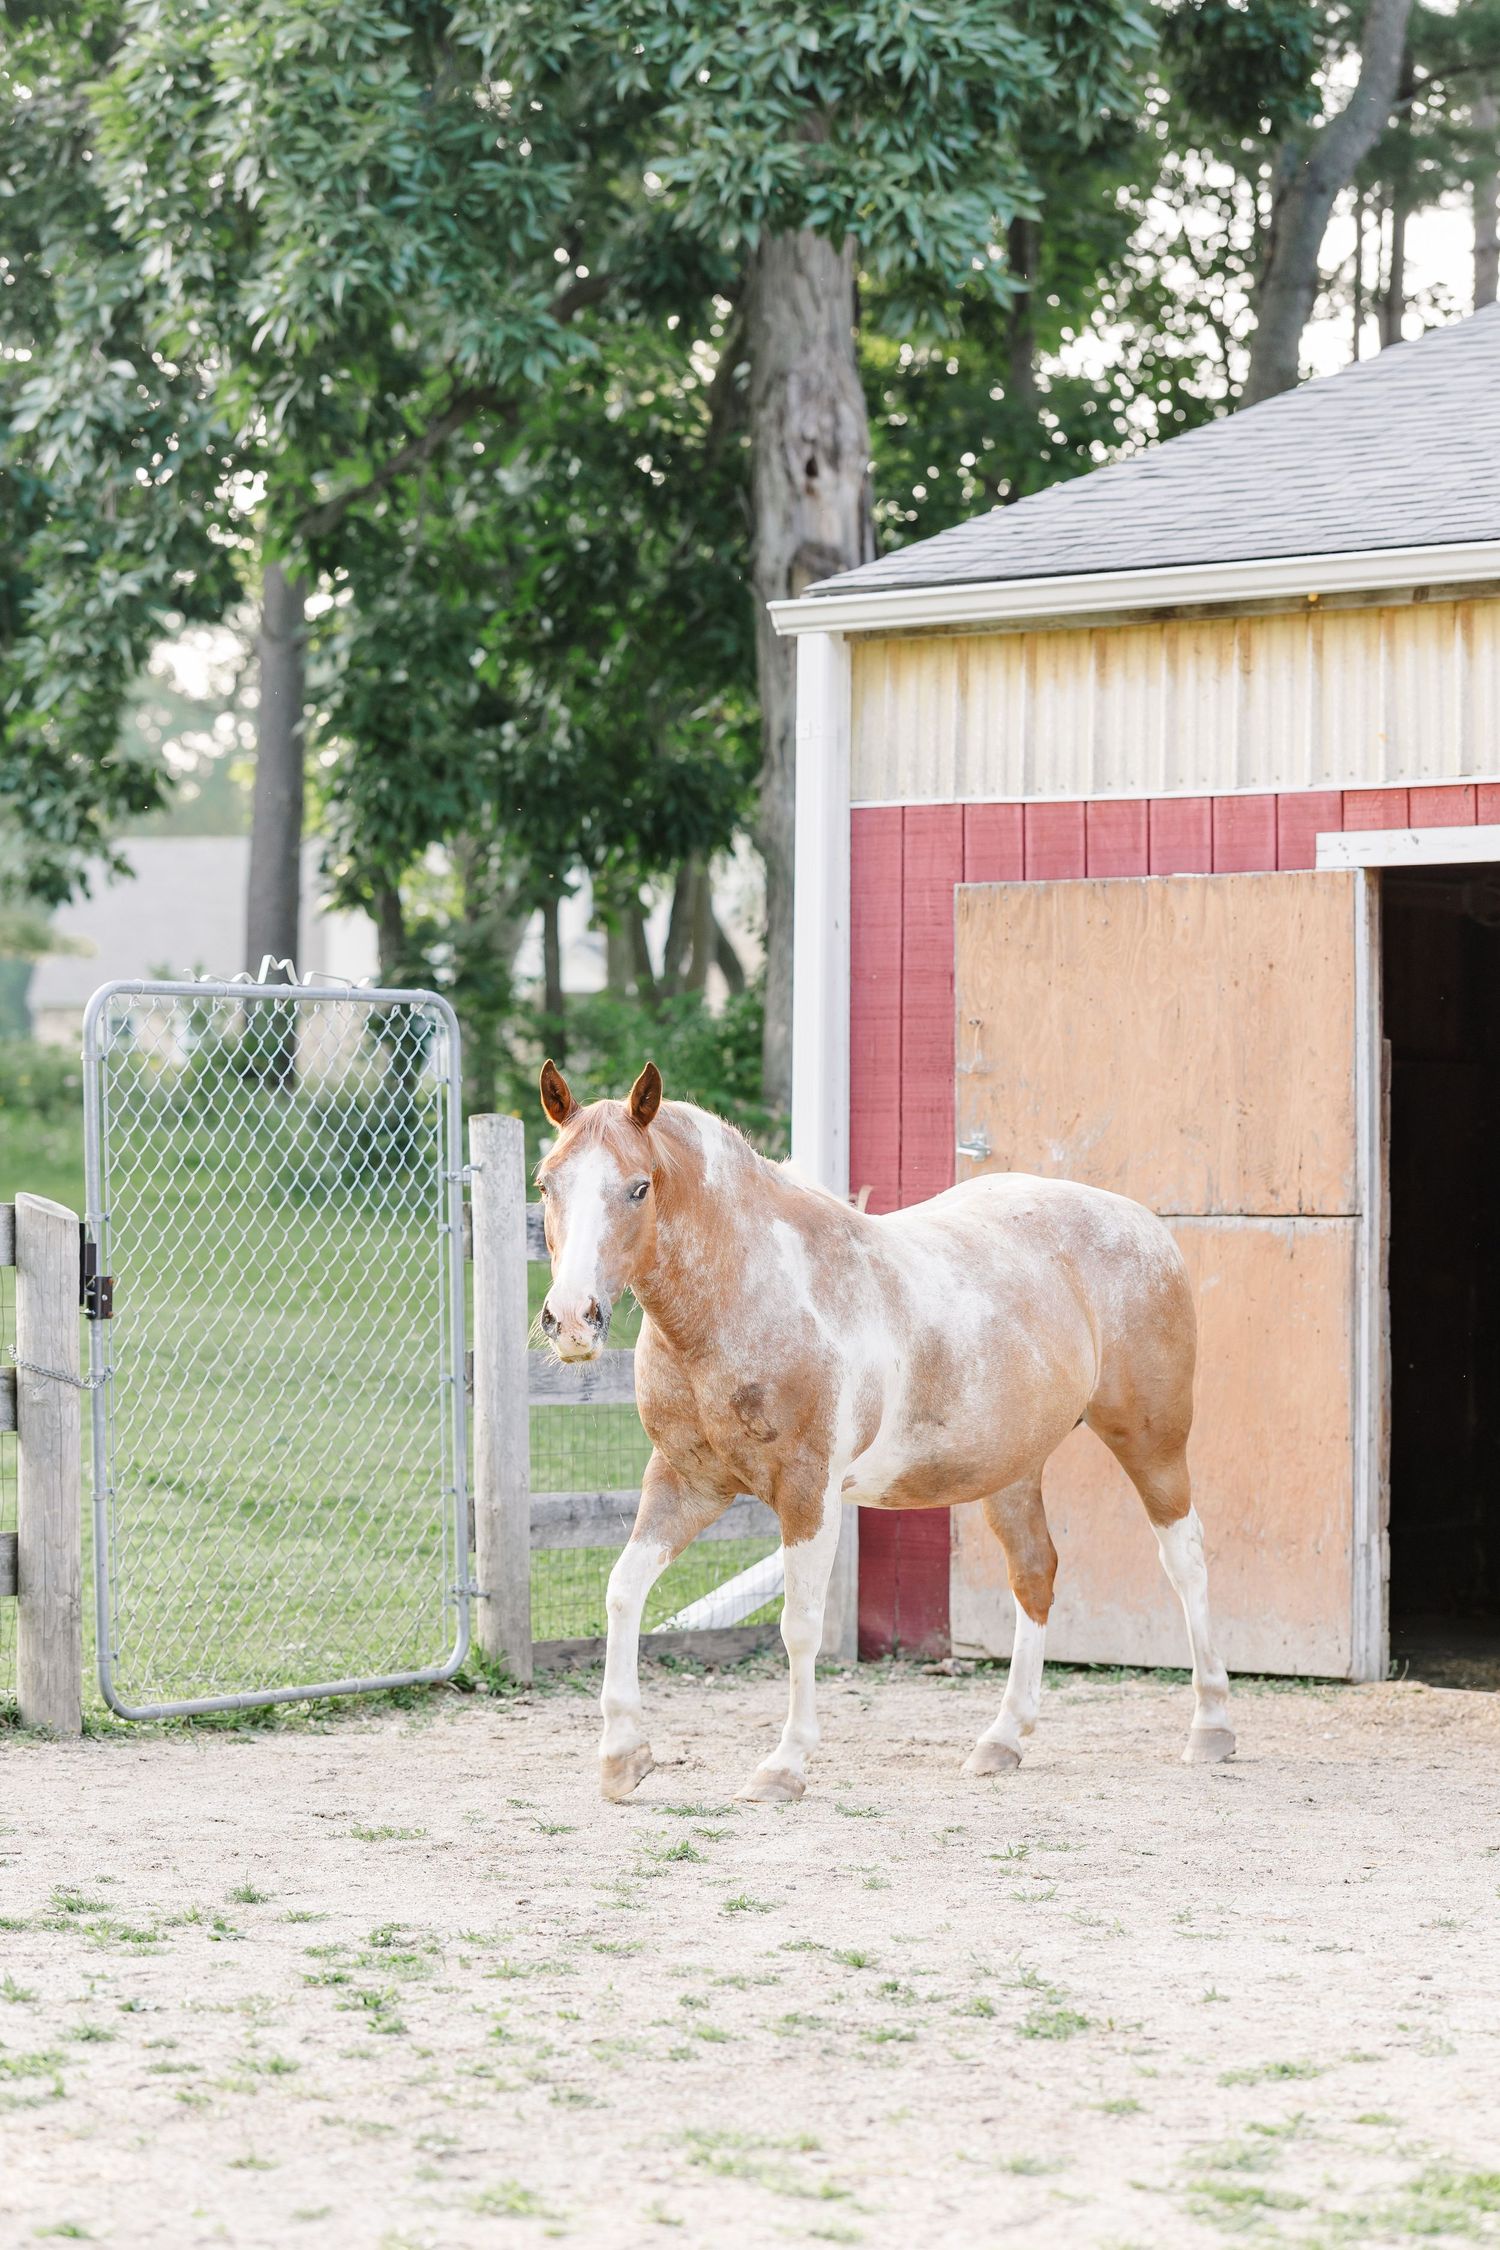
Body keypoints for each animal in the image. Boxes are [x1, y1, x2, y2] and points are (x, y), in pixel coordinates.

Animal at [535, 1059, 1234, 1803]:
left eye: (638, 1187)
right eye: (546, 1182)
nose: (572, 1320)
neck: (749, 1297)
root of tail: (1142, 1223)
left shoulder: (808, 1494)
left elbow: (800, 1627)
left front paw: (785, 1766)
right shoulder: (684, 1481)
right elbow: (623, 1591)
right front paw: (623, 1757)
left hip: (1152, 1443)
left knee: (1185, 1559)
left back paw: (1211, 1727)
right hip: (1012, 1470)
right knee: (1034, 1573)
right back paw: (1003, 1739)